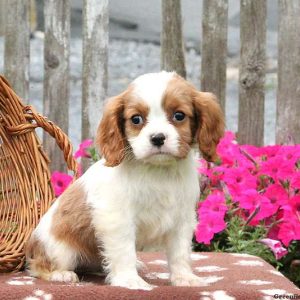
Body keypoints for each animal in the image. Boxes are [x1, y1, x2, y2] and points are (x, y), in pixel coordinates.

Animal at [25, 71, 224, 290]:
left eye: (179, 115)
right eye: (136, 119)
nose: (157, 138)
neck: (158, 170)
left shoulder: (182, 218)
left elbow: (180, 252)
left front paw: (184, 278)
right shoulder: (117, 218)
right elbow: (124, 250)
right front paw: (130, 280)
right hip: (60, 249)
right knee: (37, 267)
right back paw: (60, 274)